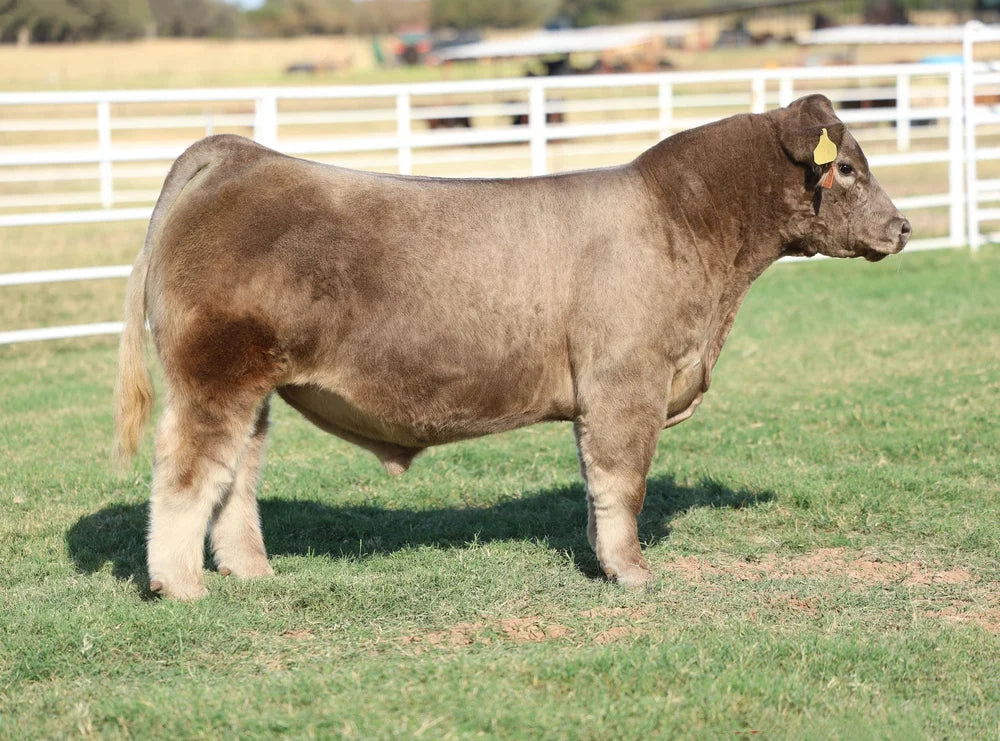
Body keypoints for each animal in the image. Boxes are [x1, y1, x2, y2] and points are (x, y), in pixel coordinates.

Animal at [112, 94, 910, 600]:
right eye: (845, 167)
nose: (902, 227)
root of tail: (239, 154)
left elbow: (595, 486)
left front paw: (604, 560)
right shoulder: (628, 382)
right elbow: (624, 481)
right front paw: (632, 573)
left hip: (254, 386)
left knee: (235, 479)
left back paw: (251, 572)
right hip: (213, 374)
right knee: (186, 473)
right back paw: (179, 586)